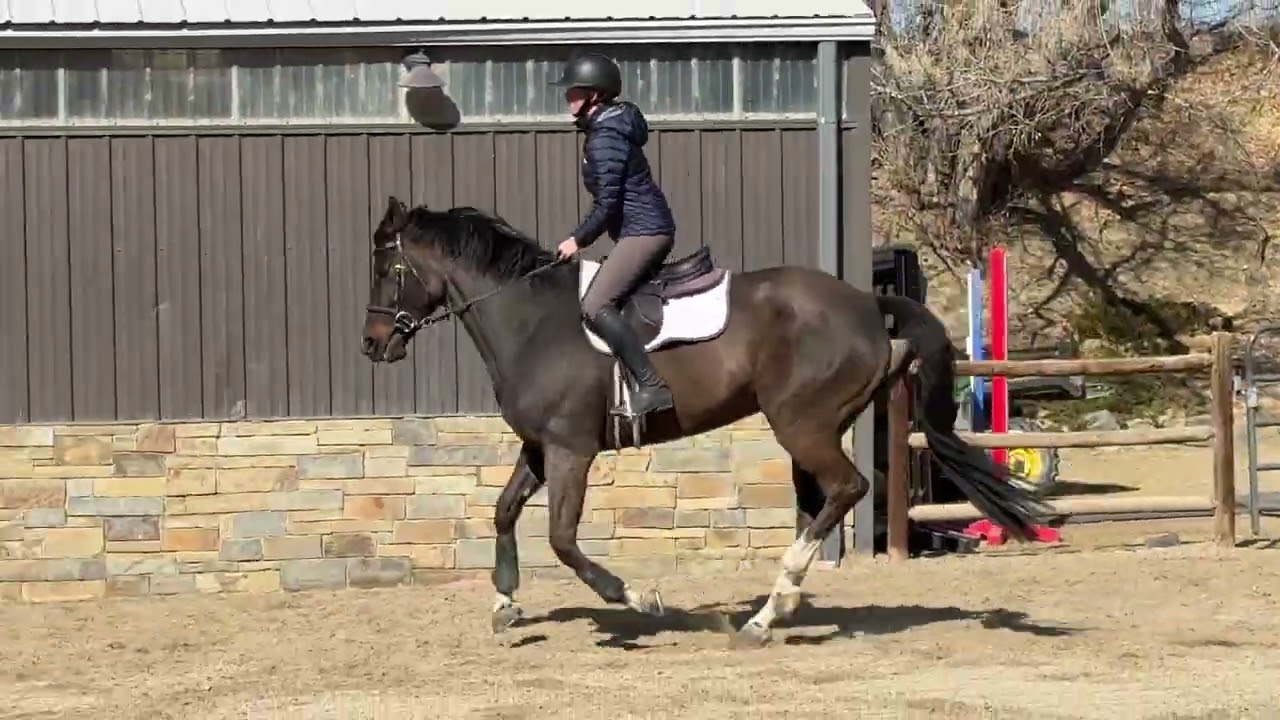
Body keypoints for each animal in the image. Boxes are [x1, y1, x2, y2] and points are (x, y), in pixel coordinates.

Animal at [359, 195, 1054, 648]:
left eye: (388, 269)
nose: (372, 345)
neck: (530, 319)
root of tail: (864, 301)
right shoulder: (539, 445)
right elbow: (503, 513)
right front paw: (505, 605)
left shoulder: (570, 450)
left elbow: (561, 539)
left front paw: (639, 599)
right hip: (812, 429)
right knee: (826, 499)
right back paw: (779, 605)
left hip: (800, 424)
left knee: (848, 488)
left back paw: (765, 615)